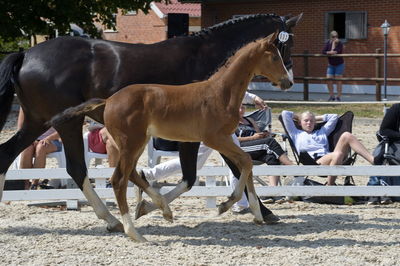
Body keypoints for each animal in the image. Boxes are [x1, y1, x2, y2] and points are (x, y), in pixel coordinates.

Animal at [0, 13, 300, 232]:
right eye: (282, 46)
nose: (289, 82)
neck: (206, 56)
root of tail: (26, 54)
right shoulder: (200, 136)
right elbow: (195, 176)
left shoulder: (211, 134)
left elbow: (236, 167)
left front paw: (261, 211)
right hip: (67, 124)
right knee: (77, 168)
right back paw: (112, 219)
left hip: (38, 121)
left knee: (7, 153)